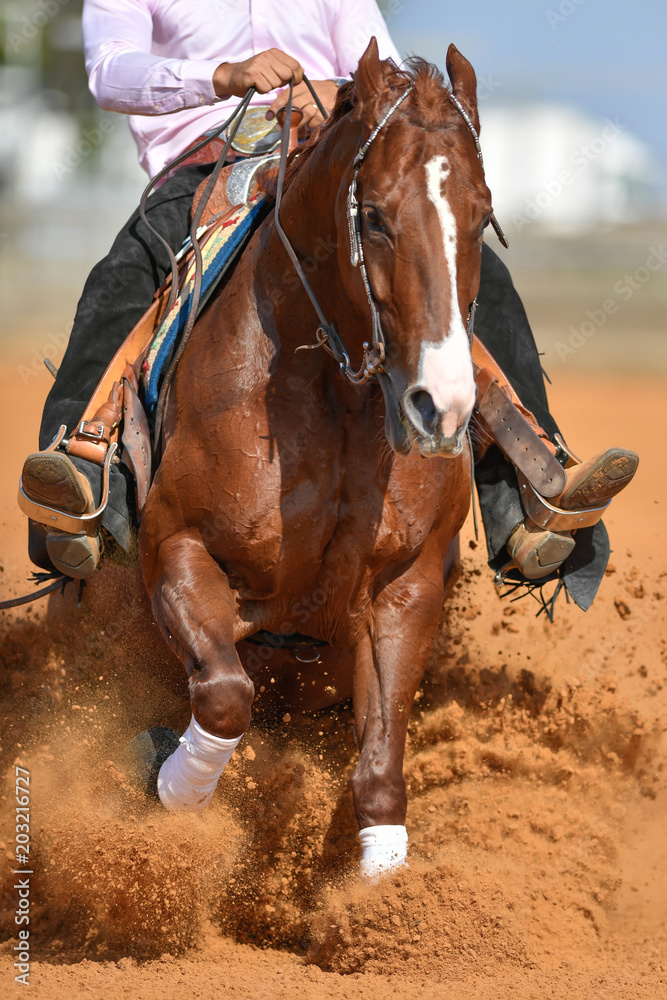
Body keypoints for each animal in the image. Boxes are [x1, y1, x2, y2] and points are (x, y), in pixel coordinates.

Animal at [137, 39, 494, 877]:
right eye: (374, 216)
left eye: (483, 215)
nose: (440, 407)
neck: (330, 398)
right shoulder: (175, 543)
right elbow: (224, 695)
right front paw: (173, 789)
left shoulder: (406, 584)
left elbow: (379, 773)